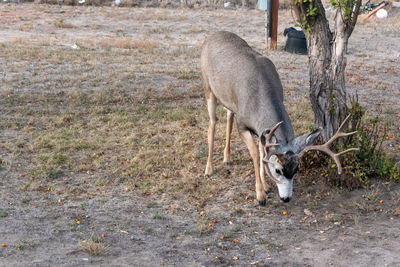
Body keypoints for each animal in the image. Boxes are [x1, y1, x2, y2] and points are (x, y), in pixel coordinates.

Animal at [202, 31, 358, 207]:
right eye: (278, 170)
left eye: (297, 169)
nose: (286, 198)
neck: (259, 97)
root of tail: (212, 35)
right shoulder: (242, 124)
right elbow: (256, 154)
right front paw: (260, 196)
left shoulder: (262, 131)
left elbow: (263, 152)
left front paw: (266, 188)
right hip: (208, 88)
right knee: (212, 122)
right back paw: (208, 170)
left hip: (228, 99)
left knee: (228, 115)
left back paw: (227, 159)